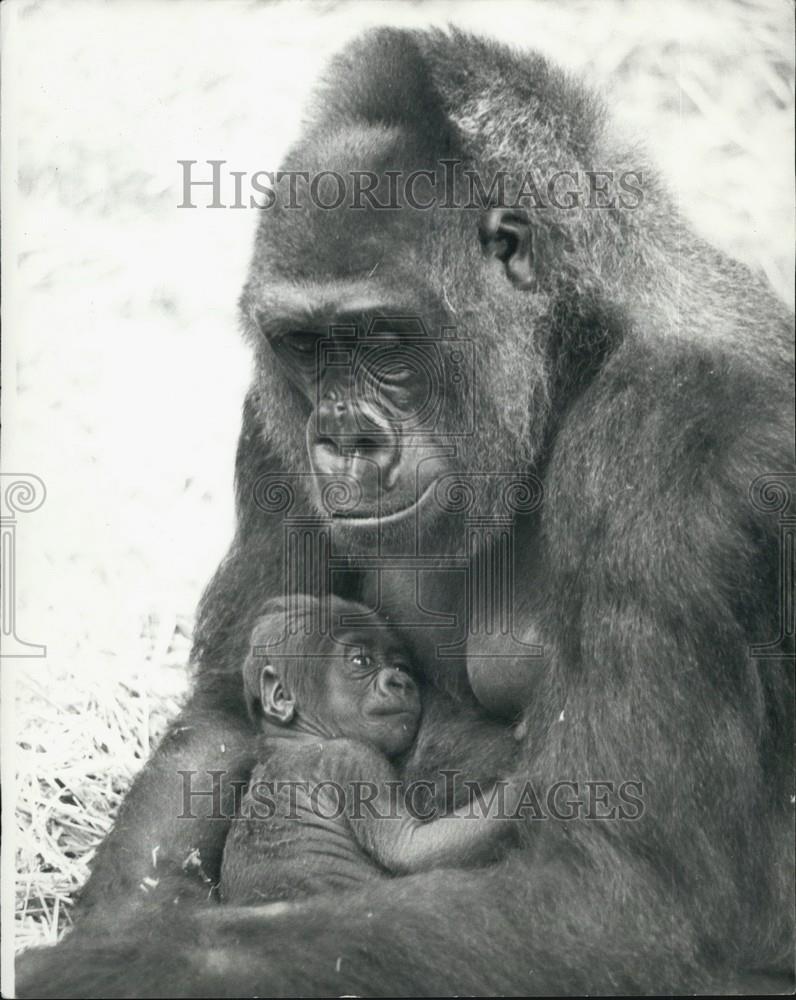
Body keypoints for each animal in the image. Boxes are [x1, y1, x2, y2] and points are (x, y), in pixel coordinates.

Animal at [219, 592, 516, 908]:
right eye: (362, 660)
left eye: (401, 668)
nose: (401, 682)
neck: (295, 738)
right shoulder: (356, 758)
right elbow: (407, 847)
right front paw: (527, 784)